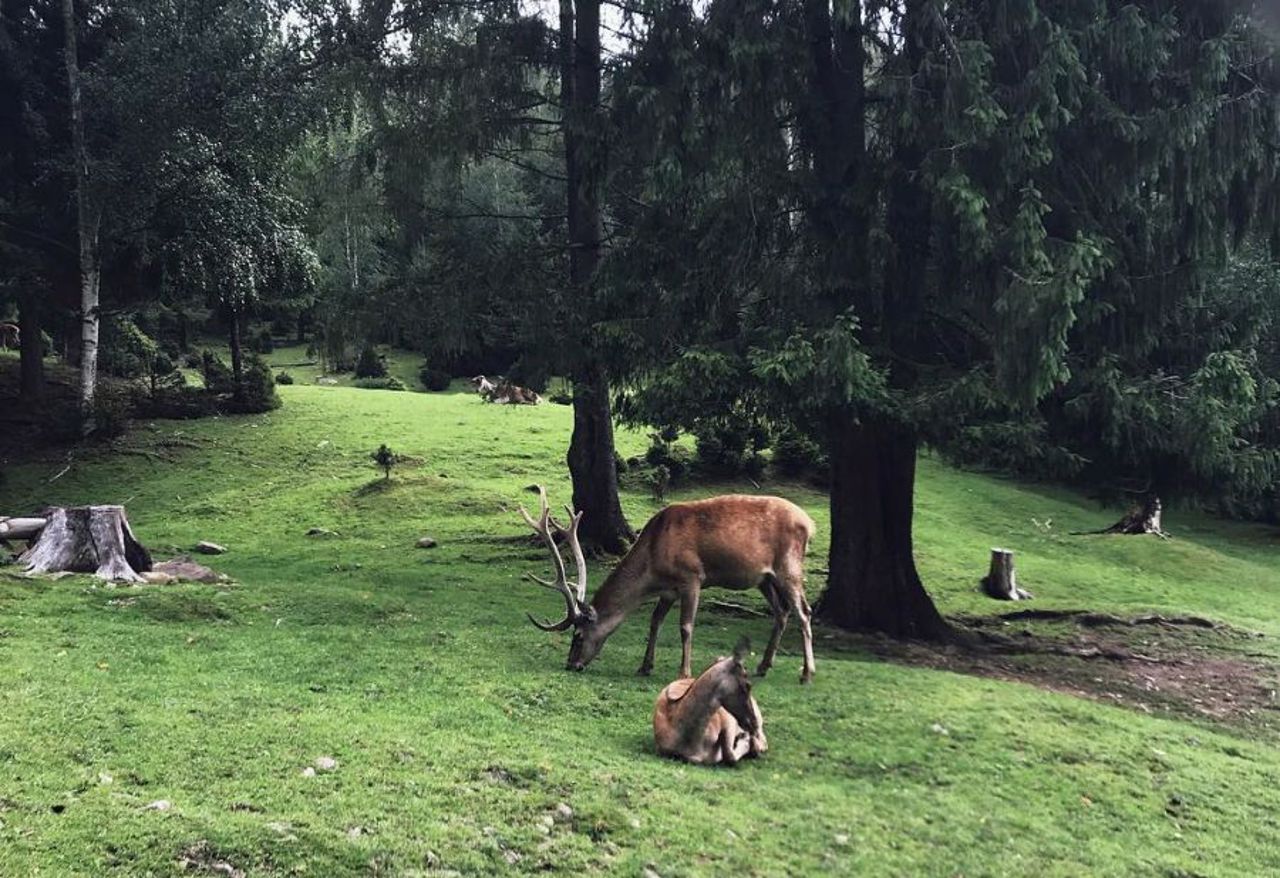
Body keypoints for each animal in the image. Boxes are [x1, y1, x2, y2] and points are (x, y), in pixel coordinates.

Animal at [514, 483, 814, 686]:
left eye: (577, 636)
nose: (571, 664)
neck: (653, 565)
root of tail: (809, 523)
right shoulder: (668, 590)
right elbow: (655, 621)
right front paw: (645, 666)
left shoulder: (692, 577)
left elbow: (685, 626)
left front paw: (684, 673)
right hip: (764, 577)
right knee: (782, 612)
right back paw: (763, 666)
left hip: (789, 565)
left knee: (803, 612)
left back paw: (806, 673)